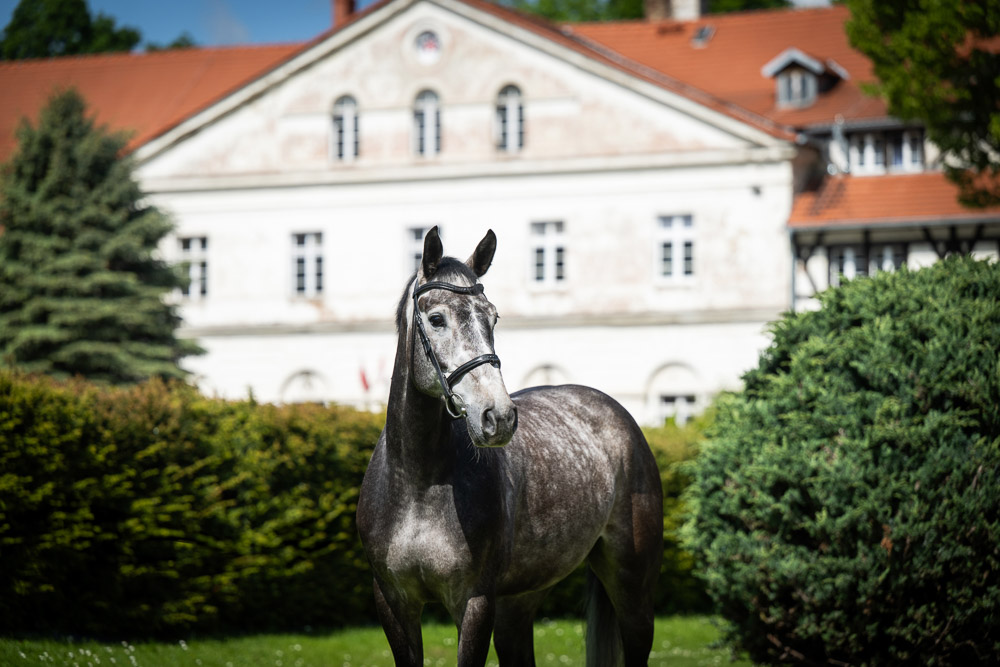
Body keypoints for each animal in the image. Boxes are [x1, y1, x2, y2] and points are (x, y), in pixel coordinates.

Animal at [357, 227, 663, 667]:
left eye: (493, 317)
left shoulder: (475, 601)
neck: (418, 485)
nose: (498, 416)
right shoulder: (393, 602)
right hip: (518, 603)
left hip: (633, 586)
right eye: (436, 319)